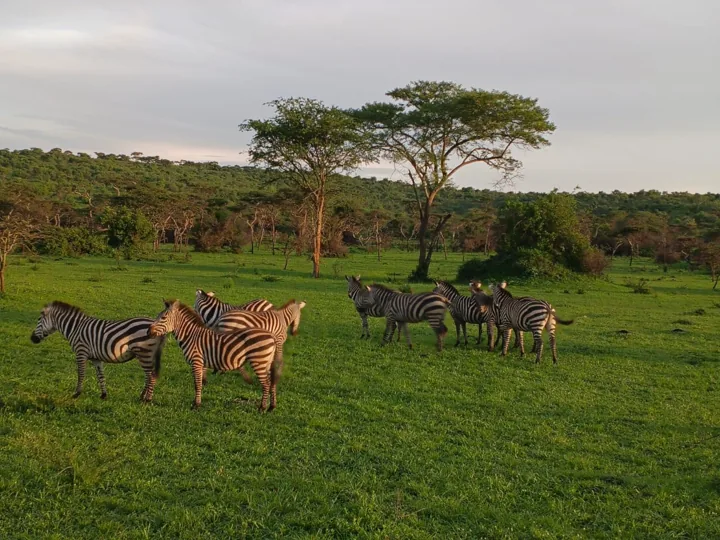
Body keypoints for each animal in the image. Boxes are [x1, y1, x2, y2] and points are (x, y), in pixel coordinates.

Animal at [30, 301, 166, 402]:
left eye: (38, 320)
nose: (32, 339)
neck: (75, 328)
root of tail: (156, 325)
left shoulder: (81, 352)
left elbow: (81, 373)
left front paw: (77, 393)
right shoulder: (96, 358)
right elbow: (100, 375)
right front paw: (103, 395)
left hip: (144, 353)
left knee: (151, 376)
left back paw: (147, 399)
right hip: (146, 354)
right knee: (148, 376)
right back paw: (142, 396)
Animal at [148, 300, 278, 411]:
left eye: (163, 317)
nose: (148, 332)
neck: (190, 336)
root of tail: (271, 335)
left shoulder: (196, 361)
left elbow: (197, 384)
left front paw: (196, 405)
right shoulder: (201, 363)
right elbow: (200, 383)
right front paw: (197, 402)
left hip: (259, 361)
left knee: (266, 384)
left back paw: (262, 408)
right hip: (266, 362)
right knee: (271, 382)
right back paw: (271, 407)